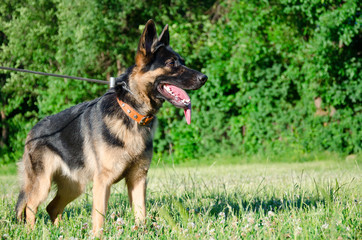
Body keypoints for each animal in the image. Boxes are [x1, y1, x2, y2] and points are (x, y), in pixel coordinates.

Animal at [16, 19, 206, 234]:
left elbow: (141, 214)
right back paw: (32, 233)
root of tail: (32, 130)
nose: (204, 77)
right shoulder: (102, 182)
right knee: (31, 206)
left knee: (52, 207)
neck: (131, 113)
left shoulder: (138, 179)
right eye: (172, 63)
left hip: (74, 186)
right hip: (43, 184)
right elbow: (99, 219)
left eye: (182, 61)